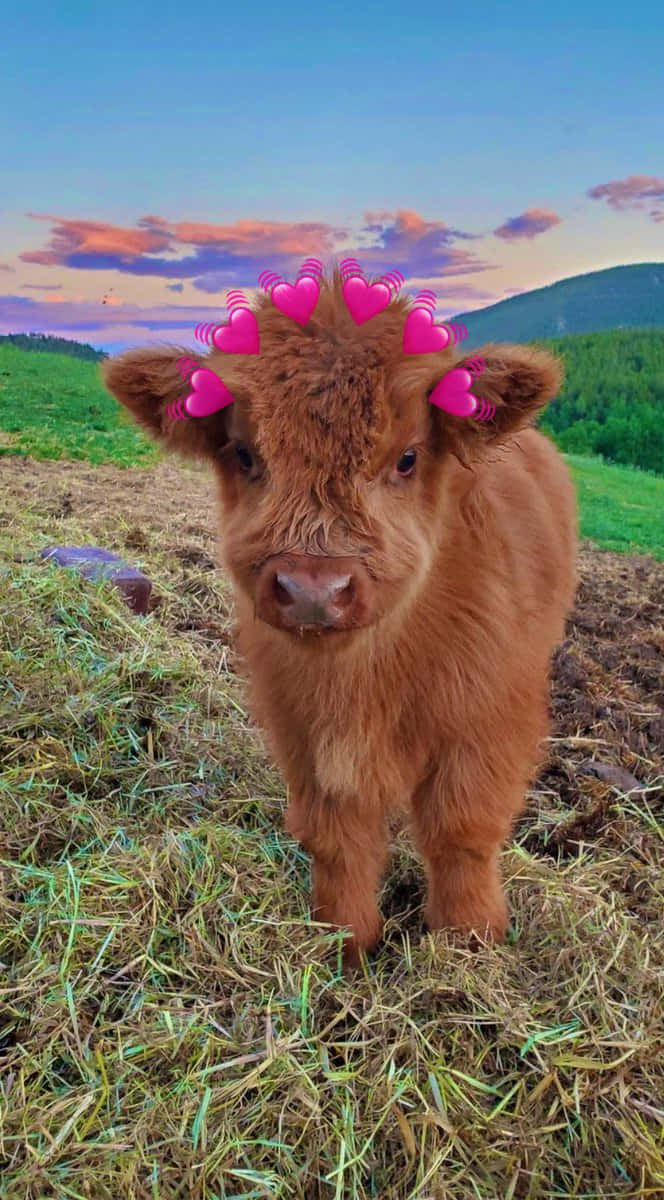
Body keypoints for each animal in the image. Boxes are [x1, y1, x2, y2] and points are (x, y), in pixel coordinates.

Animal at [102, 268, 578, 970]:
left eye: (407, 458)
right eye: (244, 454)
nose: (312, 590)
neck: (368, 677)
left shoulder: (487, 721)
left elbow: (462, 829)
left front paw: (469, 943)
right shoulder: (302, 726)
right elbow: (337, 837)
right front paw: (345, 942)